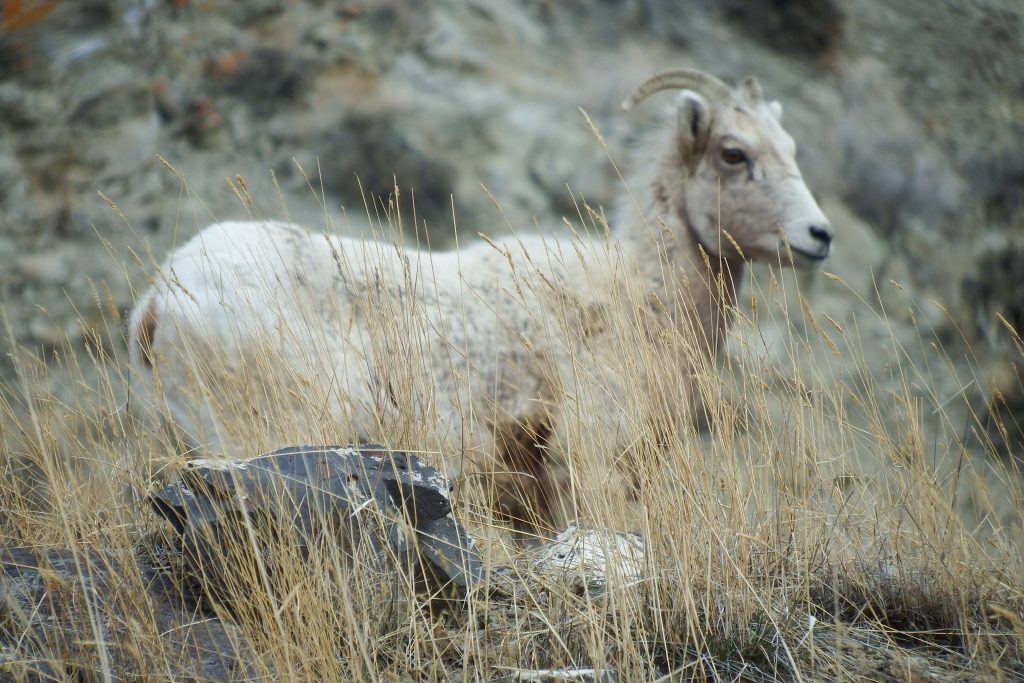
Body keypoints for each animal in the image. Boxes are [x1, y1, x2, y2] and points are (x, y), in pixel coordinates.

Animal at [128, 69, 831, 528]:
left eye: (793, 149)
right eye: (733, 153)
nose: (818, 236)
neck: (640, 294)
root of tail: (160, 299)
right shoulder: (586, 473)